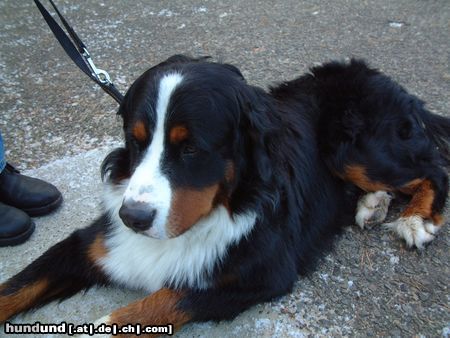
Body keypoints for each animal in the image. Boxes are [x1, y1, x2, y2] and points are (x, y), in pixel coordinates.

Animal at [0, 56, 450, 336]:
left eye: (191, 149)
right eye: (136, 139)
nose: (134, 218)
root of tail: (382, 79)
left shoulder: (257, 272)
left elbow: (153, 304)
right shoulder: (92, 242)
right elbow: (16, 285)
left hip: (353, 150)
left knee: (434, 169)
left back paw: (414, 220)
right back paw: (373, 204)